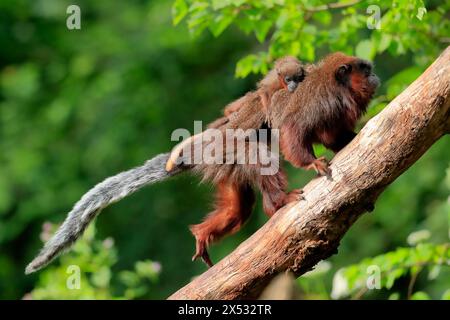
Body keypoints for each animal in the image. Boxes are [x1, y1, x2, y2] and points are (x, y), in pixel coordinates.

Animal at [165, 55, 306, 172]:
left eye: (297, 79)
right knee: (250, 97)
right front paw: (268, 110)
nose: (293, 85)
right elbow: (264, 91)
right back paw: (229, 112)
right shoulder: (275, 82)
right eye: (288, 79)